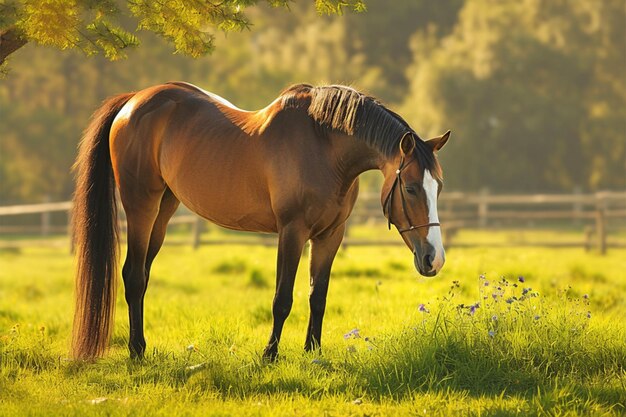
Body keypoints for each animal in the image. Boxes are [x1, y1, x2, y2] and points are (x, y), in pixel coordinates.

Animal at [70, 83, 448, 360]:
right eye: (411, 188)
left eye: (438, 187)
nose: (435, 260)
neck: (324, 147)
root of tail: (132, 101)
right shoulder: (292, 232)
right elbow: (282, 299)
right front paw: (270, 354)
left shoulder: (330, 236)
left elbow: (318, 296)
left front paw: (313, 352)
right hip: (141, 207)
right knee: (133, 276)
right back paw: (137, 351)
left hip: (163, 211)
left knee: (143, 276)